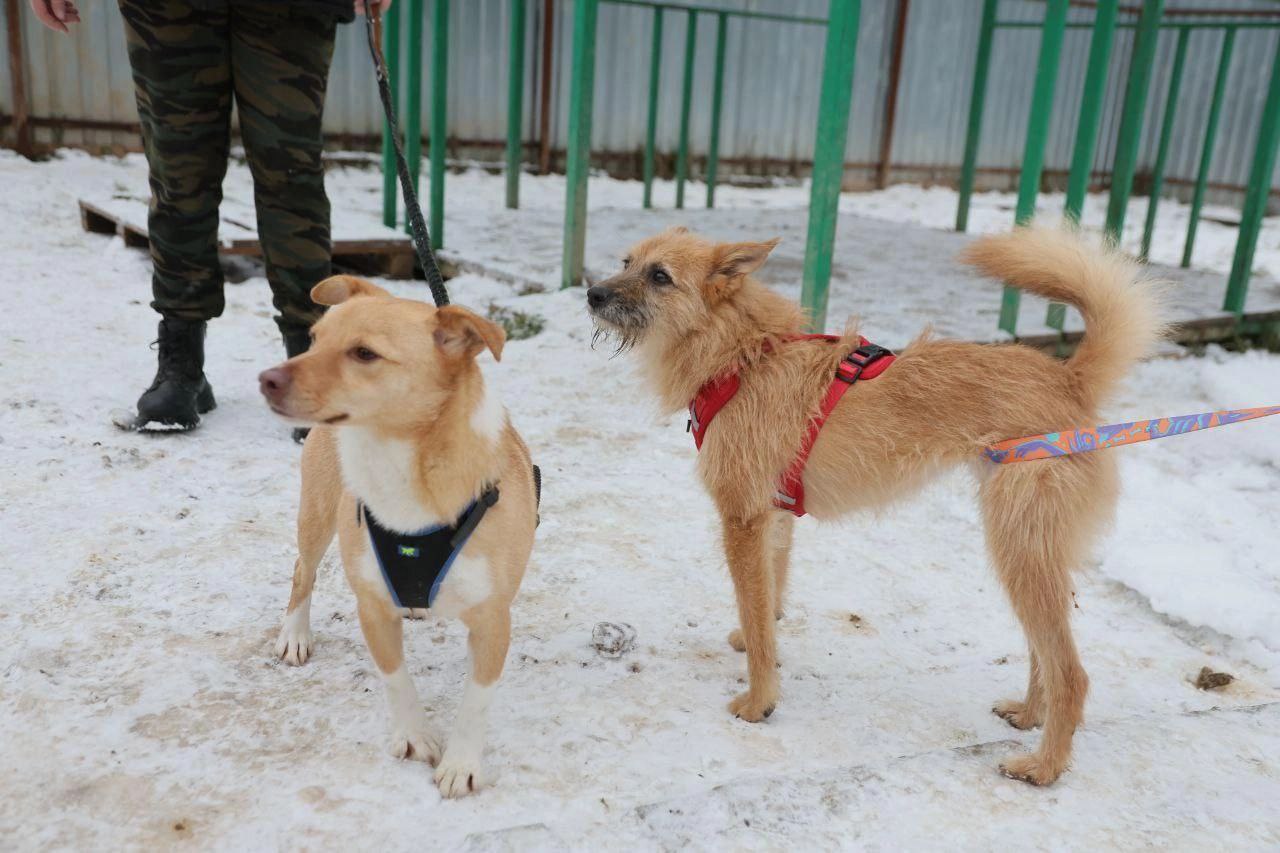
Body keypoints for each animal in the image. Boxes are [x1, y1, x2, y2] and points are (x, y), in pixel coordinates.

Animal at [257, 274, 537, 799]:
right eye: (314, 340)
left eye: (364, 353)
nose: (267, 379)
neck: (404, 465)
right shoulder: (372, 604)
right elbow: (395, 678)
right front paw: (414, 736)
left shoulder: (493, 617)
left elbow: (476, 699)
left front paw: (461, 763)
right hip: (316, 513)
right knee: (302, 570)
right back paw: (295, 634)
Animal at [586, 225, 1167, 783]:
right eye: (626, 262)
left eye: (660, 276)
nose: (592, 294)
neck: (743, 353)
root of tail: (1068, 378)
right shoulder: (773, 518)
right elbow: (768, 600)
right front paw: (756, 643)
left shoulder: (742, 520)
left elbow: (756, 613)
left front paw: (759, 701)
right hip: (1029, 556)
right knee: (1043, 653)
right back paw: (1028, 715)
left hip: (1018, 550)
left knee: (1070, 672)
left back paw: (1043, 766)